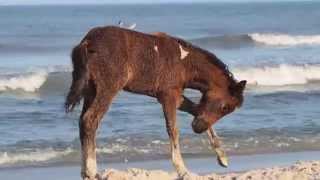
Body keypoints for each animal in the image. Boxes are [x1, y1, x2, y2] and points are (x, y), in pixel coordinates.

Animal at [64, 26, 245, 179]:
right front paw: (183, 170)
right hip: (108, 89)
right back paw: (91, 171)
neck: (184, 63)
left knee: (83, 122)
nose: (197, 128)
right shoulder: (168, 96)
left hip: (91, 91)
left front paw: (222, 157)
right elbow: (173, 129)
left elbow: (196, 111)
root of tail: (87, 42)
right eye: (225, 107)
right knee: (90, 120)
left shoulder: (174, 96)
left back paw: (85, 172)